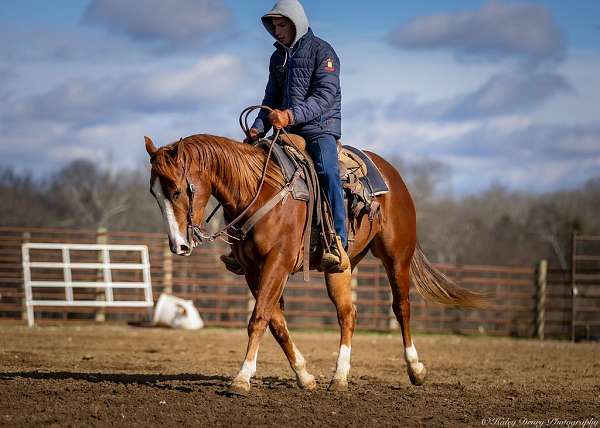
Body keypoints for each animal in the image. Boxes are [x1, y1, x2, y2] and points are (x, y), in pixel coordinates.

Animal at [146, 133, 488, 394]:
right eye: (154, 194)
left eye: (177, 190)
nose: (178, 245)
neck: (259, 191)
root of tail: (392, 175)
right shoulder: (253, 270)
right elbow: (276, 322)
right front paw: (304, 376)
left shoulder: (278, 262)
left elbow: (259, 318)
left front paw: (242, 378)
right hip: (341, 267)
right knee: (347, 314)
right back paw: (339, 377)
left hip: (396, 256)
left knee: (401, 307)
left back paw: (415, 368)